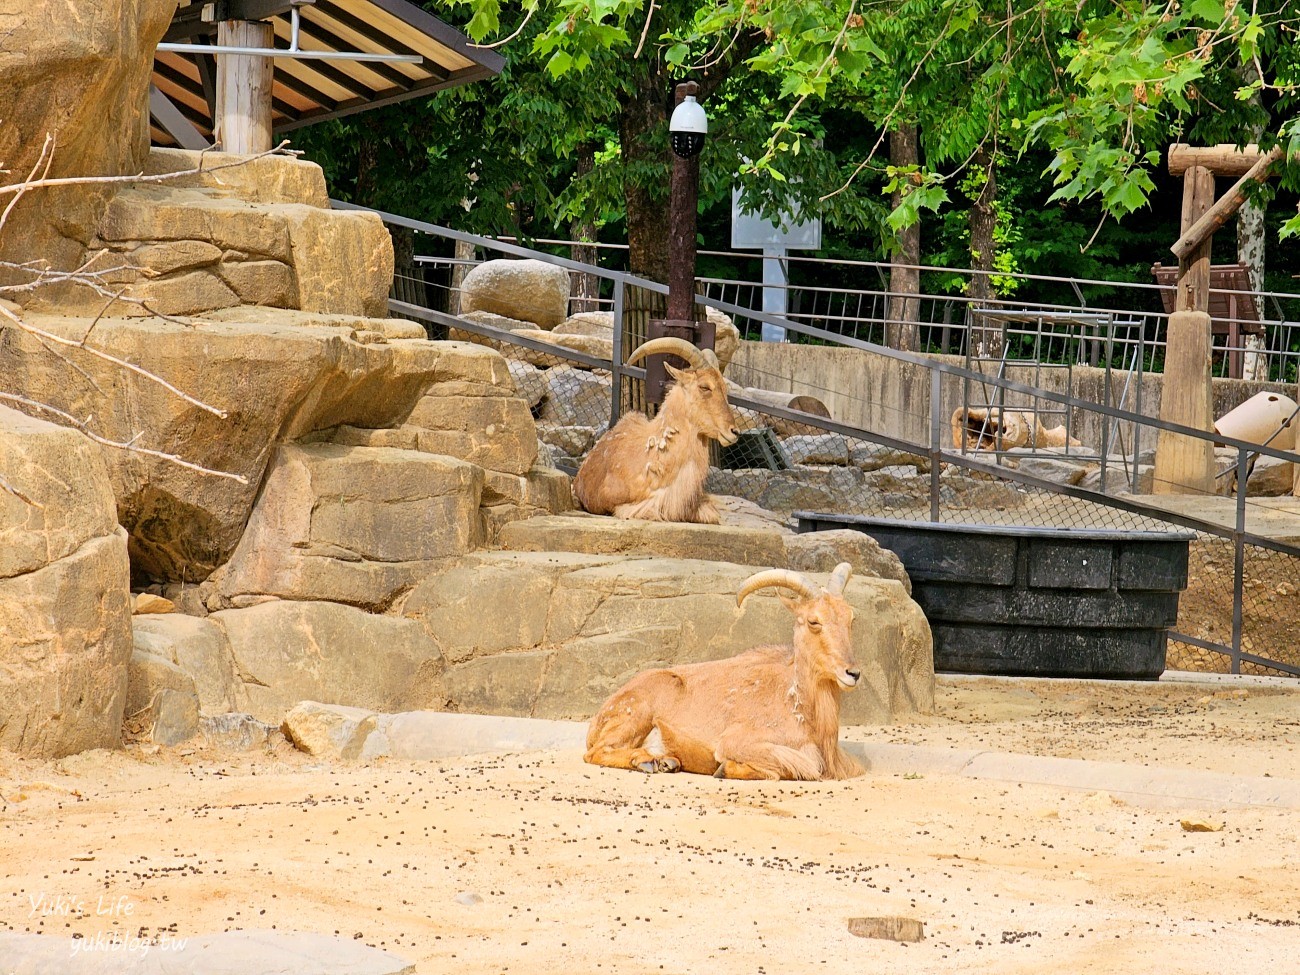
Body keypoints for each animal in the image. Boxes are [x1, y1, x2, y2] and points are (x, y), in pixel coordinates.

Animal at [582, 561, 863, 785]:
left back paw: (666, 761)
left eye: (851, 619)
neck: (801, 705)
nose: (853, 672)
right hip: (636, 712)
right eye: (814, 621)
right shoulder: (738, 741)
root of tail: (598, 717)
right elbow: (801, 767)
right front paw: (724, 769)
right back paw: (647, 761)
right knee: (596, 752)